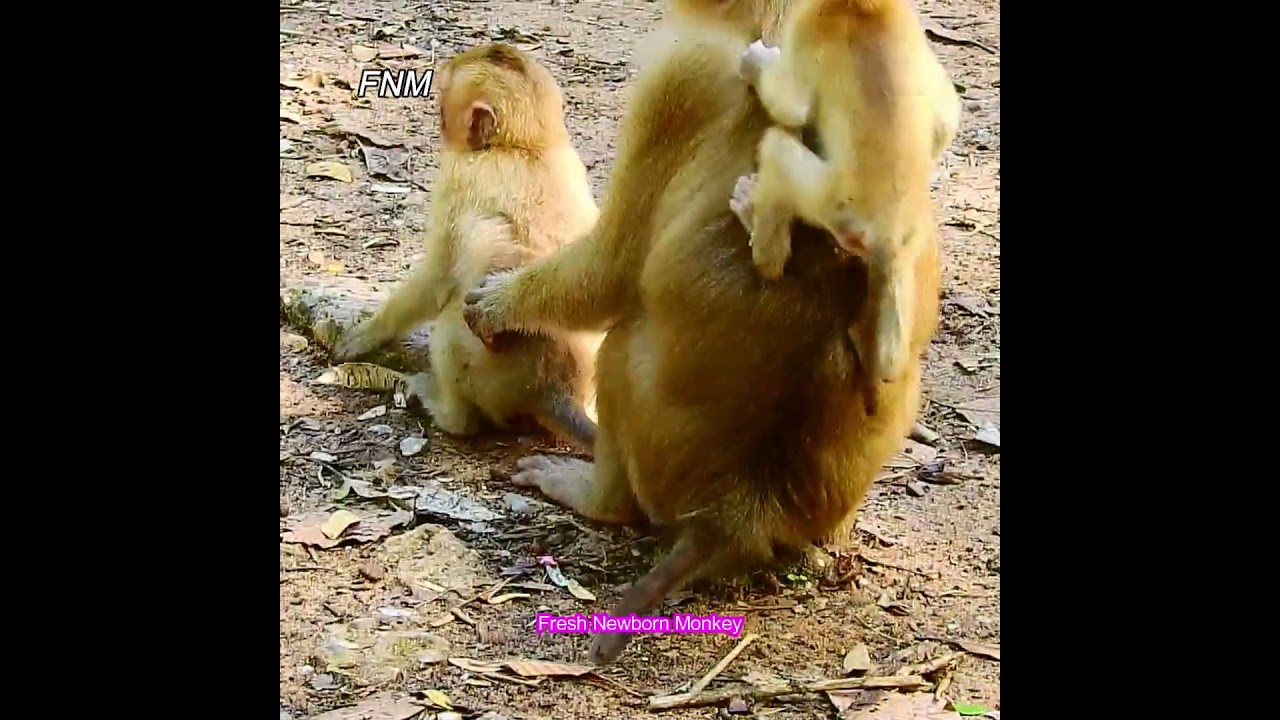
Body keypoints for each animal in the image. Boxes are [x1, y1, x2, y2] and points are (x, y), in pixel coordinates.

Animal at [331, 43, 603, 451]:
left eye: (444, 107)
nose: (440, 123)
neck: (521, 146)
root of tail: (553, 388)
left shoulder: (458, 176)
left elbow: (437, 277)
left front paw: (366, 335)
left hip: (484, 374)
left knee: (451, 319)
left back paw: (447, 413)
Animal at [730, 0, 960, 416]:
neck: (863, 7)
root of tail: (885, 235)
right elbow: (946, 117)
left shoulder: (808, 30)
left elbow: (790, 104)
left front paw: (756, 63)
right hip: (909, 236)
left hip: (826, 199)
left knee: (776, 148)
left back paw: (757, 233)